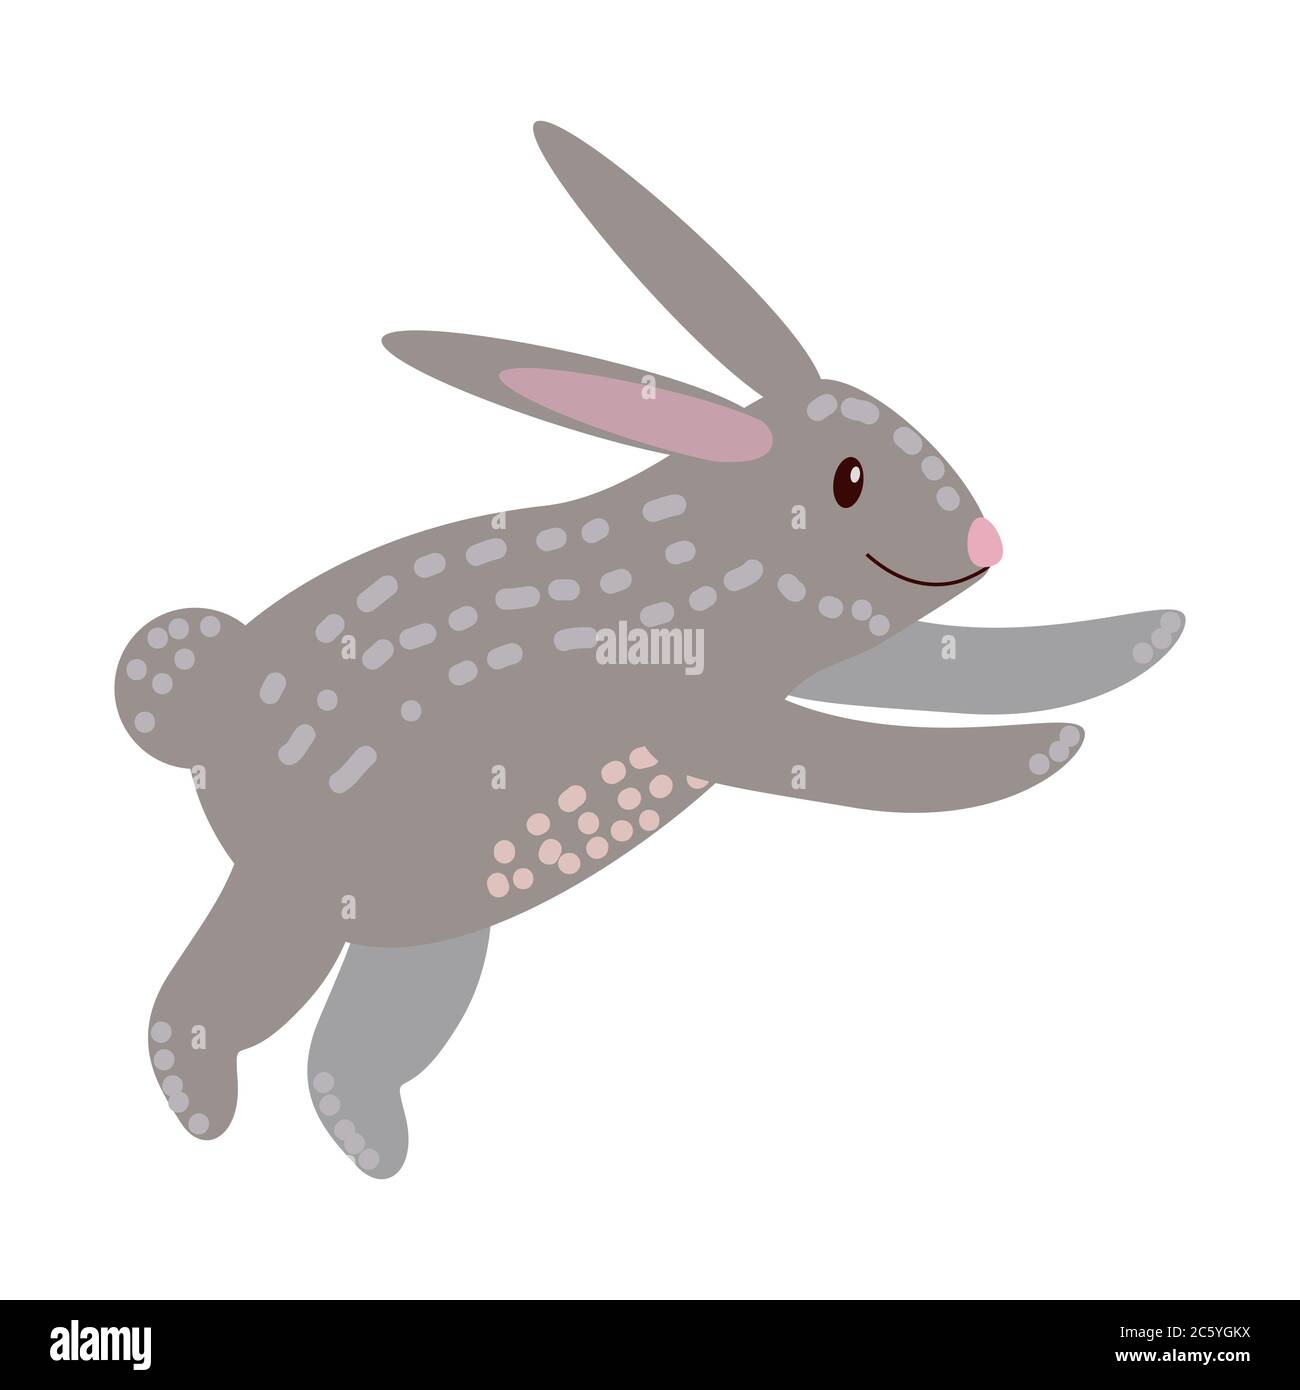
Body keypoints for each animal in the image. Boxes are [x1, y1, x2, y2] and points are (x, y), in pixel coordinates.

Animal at [115, 122, 1184, 1176]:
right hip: (308, 888)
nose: (983, 540)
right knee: (226, 997)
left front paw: (1147, 638)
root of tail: (199, 719)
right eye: (848, 479)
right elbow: (863, 755)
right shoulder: (711, 718)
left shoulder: (831, 653)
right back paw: (204, 1110)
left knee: (363, 1033)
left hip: (424, 907)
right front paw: (1043, 750)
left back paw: (365, 1139)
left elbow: (962, 663)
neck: (709, 552)